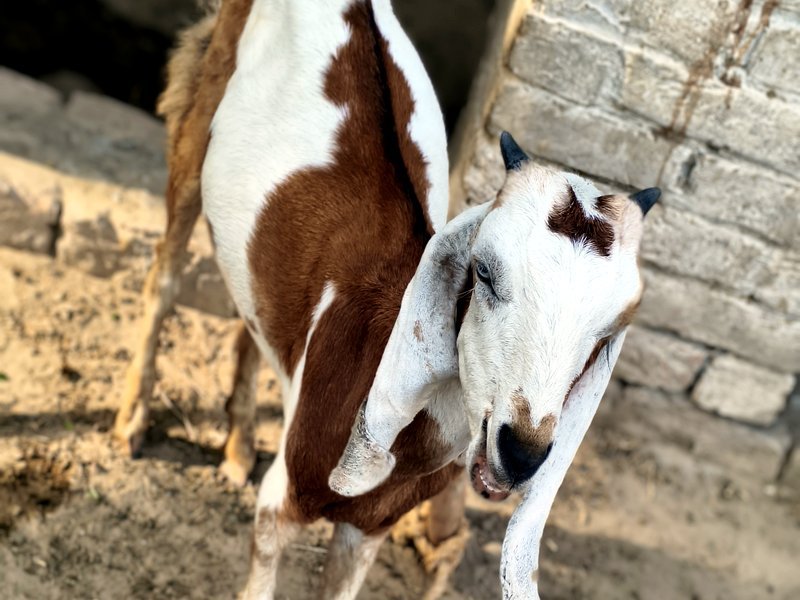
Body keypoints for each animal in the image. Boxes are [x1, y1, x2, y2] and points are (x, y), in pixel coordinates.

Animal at [114, 0, 659, 598]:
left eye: (607, 332)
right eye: (485, 272)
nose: (521, 454)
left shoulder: (367, 530)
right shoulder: (281, 502)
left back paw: (236, 450)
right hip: (199, 110)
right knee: (164, 275)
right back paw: (130, 427)